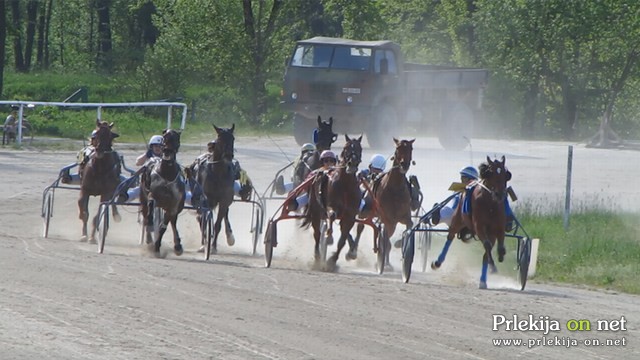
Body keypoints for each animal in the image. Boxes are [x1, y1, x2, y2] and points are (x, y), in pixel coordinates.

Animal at [192, 124, 238, 253]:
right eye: (220, 138)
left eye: (233, 138)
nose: (228, 155)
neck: (218, 173)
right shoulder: (206, 199)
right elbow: (203, 220)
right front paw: (204, 245)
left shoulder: (224, 200)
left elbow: (218, 224)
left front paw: (213, 246)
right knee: (200, 218)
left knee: (224, 215)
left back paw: (229, 236)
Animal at [298, 134, 360, 270]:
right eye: (346, 148)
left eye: (359, 148)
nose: (352, 163)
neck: (346, 185)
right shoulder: (331, 206)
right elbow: (331, 216)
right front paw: (330, 236)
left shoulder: (350, 215)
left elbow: (342, 240)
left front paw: (332, 260)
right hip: (315, 211)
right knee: (317, 233)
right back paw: (317, 257)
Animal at [350, 138, 416, 270]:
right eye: (397, 148)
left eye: (410, 148)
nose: (404, 165)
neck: (395, 189)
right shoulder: (386, 217)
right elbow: (384, 237)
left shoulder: (403, 216)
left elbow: (409, 226)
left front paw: (399, 244)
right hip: (366, 210)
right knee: (360, 227)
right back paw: (354, 252)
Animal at [432, 155, 512, 290]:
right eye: (490, 173)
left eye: (505, 175)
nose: (499, 194)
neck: (491, 205)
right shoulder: (479, 226)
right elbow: (487, 246)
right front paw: (493, 266)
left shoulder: (497, 228)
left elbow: (497, 248)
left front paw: (498, 258)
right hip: (457, 219)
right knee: (450, 237)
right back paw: (437, 262)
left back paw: (484, 280)